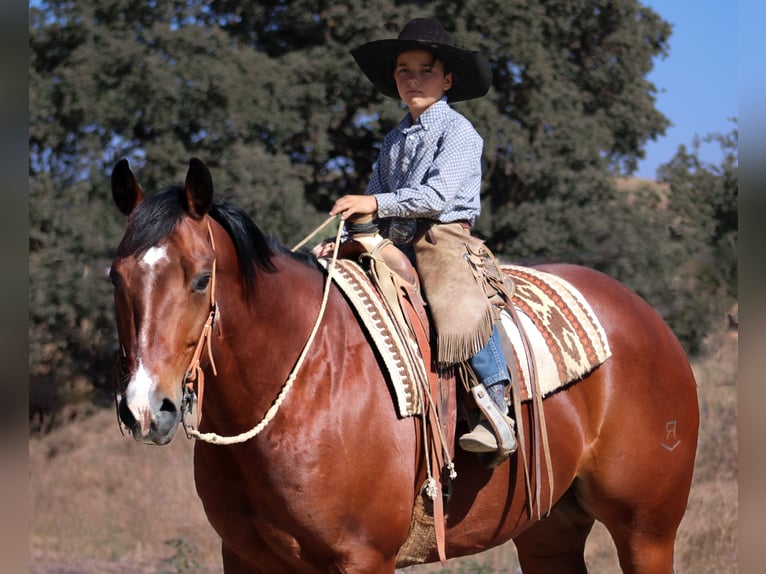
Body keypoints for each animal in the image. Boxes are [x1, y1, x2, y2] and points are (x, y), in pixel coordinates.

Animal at [108, 158, 704, 574]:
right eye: (115, 277)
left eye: (201, 279)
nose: (144, 410)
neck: (304, 387)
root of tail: (649, 318)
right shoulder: (244, 558)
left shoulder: (363, 557)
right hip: (548, 529)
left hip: (647, 530)